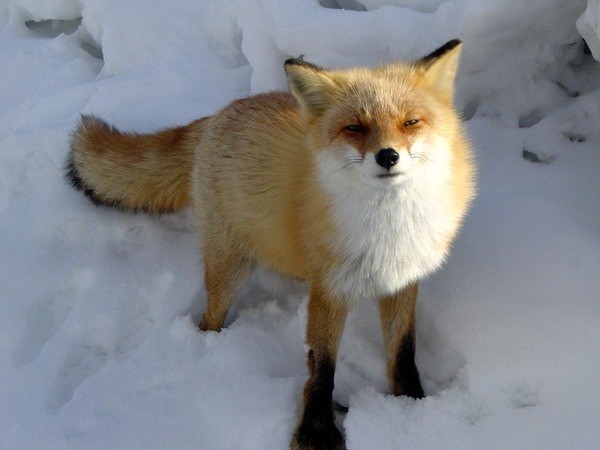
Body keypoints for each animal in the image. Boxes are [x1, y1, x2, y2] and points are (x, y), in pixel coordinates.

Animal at [65, 40, 476, 448]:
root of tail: (219, 115)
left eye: (410, 122)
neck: (389, 229)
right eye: (355, 127)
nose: (388, 156)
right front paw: (315, 433)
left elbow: (403, 351)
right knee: (209, 319)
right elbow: (322, 367)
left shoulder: (403, 279)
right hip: (229, 270)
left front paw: (411, 406)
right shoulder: (330, 288)